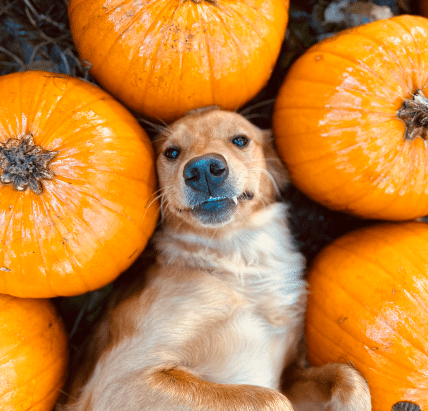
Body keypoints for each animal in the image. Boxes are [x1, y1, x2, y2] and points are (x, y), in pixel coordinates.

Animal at [61, 107, 372, 411]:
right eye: (171, 152)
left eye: (240, 140)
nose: (203, 169)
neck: (237, 256)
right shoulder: (121, 377)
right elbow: (271, 399)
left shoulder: (291, 374)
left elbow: (348, 376)